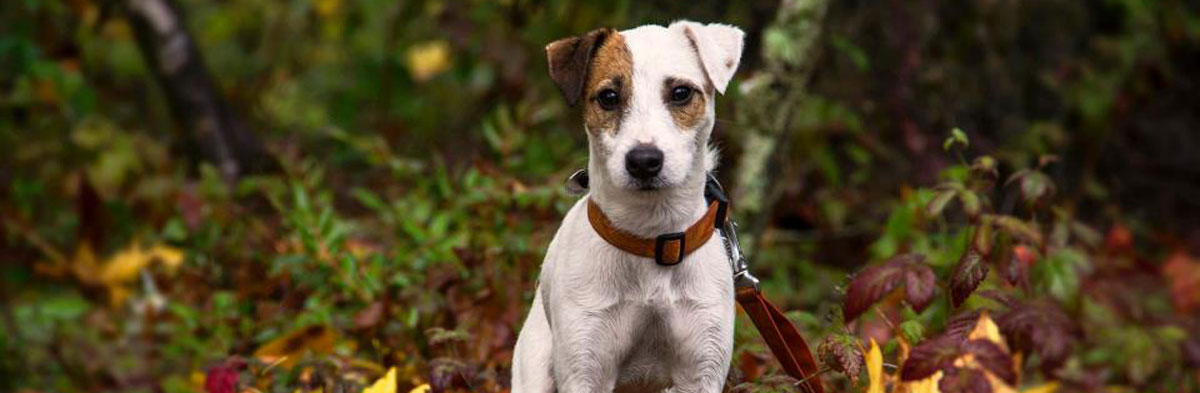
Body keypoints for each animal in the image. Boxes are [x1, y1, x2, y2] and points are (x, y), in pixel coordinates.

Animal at [513, 21, 744, 393]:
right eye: (609, 97)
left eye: (681, 92)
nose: (644, 160)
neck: (651, 238)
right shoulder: (585, 368)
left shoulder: (701, 369)